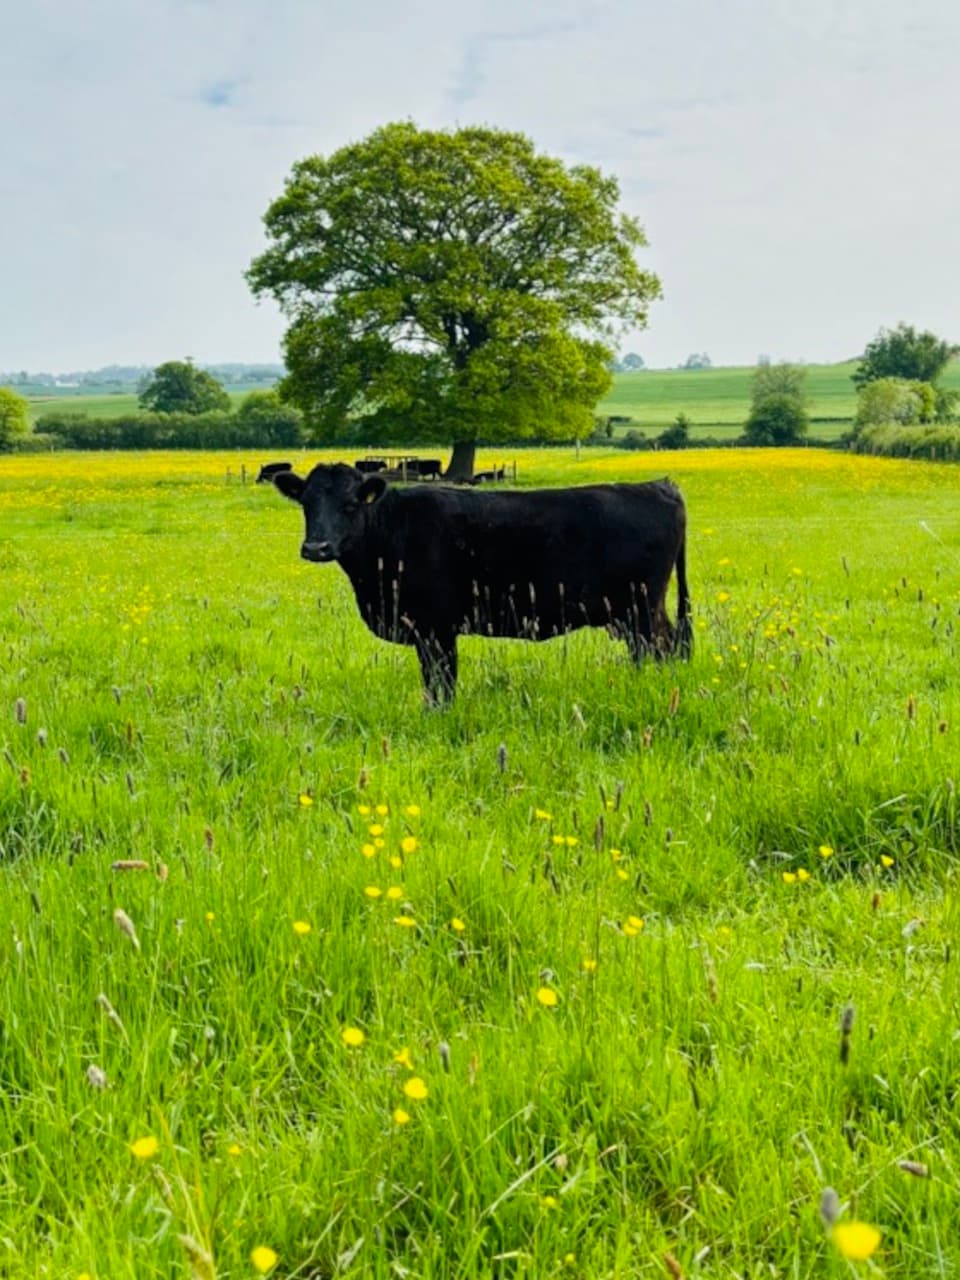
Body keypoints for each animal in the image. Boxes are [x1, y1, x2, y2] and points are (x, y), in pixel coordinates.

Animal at [266, 462, 691, 701]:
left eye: (351, 504)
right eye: (306, 503)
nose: (316, 547)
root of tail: (660, 485)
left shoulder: (436, 629)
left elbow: (441, 683)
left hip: (641, 609)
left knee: (662, 649)